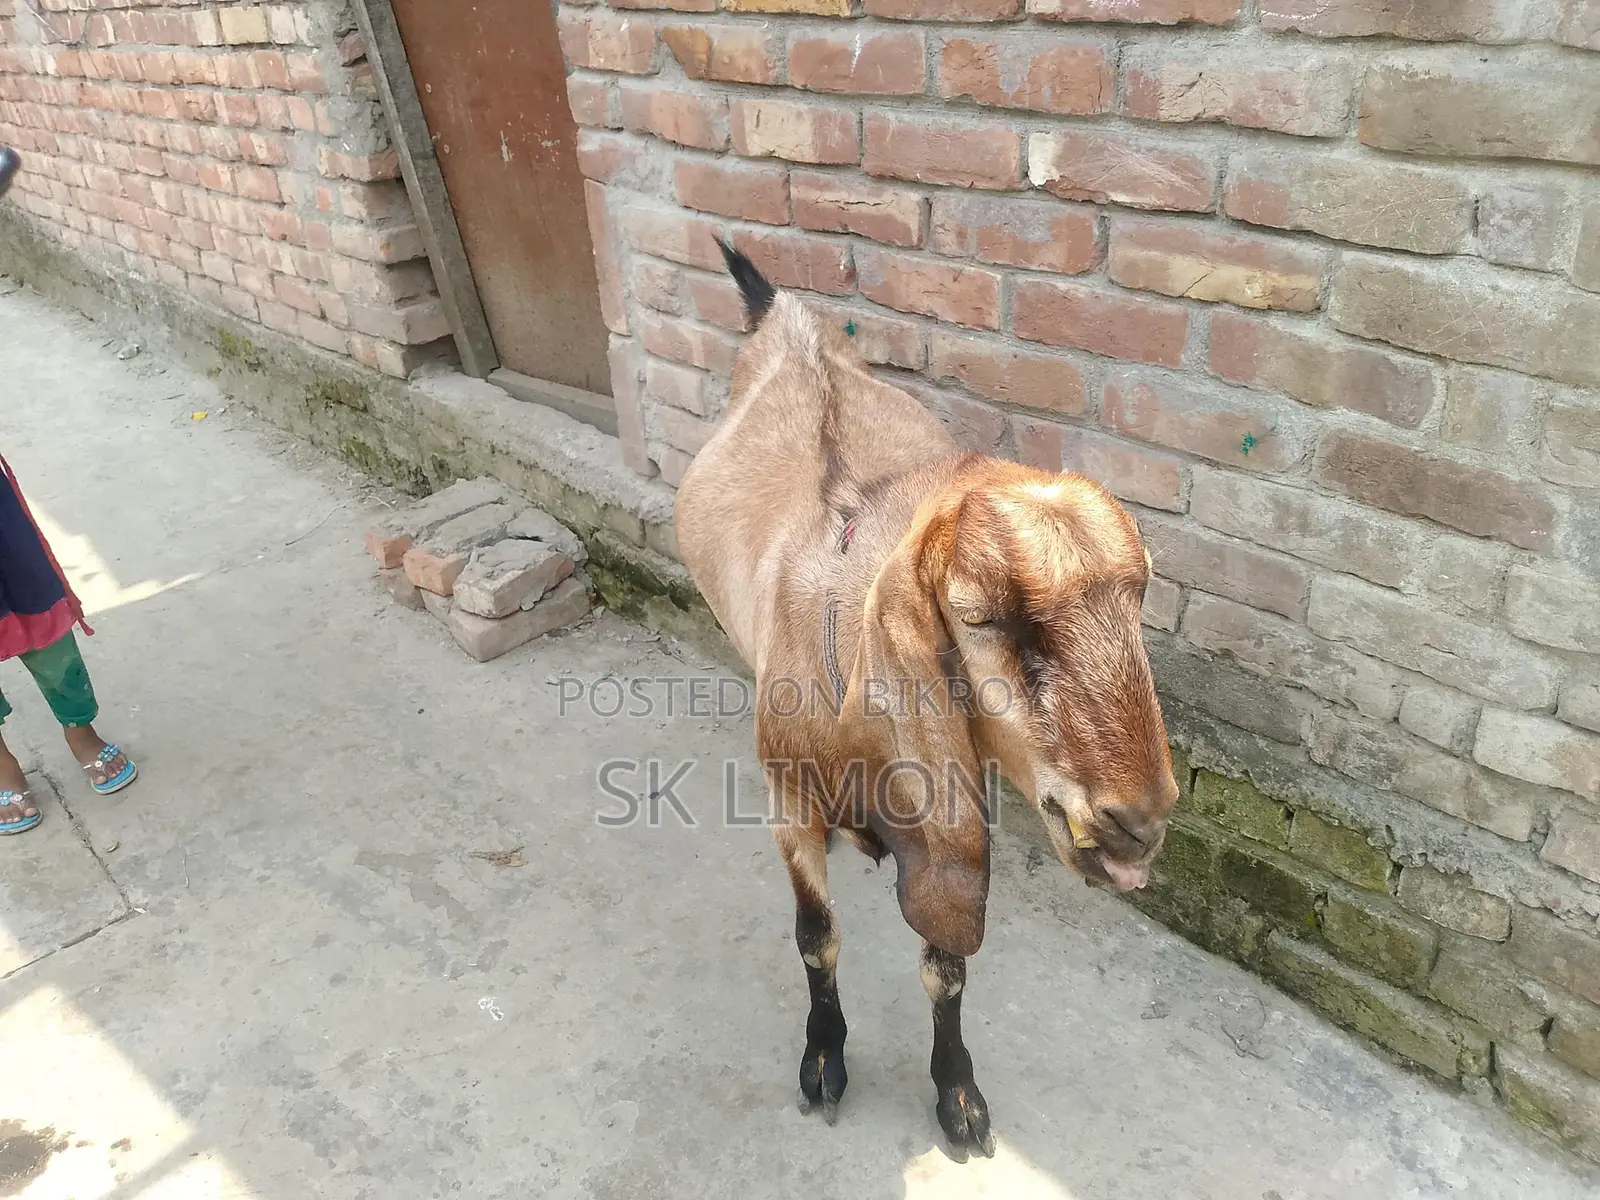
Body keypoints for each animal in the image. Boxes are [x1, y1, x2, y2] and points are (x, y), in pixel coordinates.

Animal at [673, 243, 1179, 1158]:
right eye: (977, 616)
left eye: (1142, 598)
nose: (1138, 821)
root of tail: (783, 320)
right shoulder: (788, 803)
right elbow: (816, 938)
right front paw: (824, 1060)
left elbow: (945, 964)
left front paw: (958, 1095)